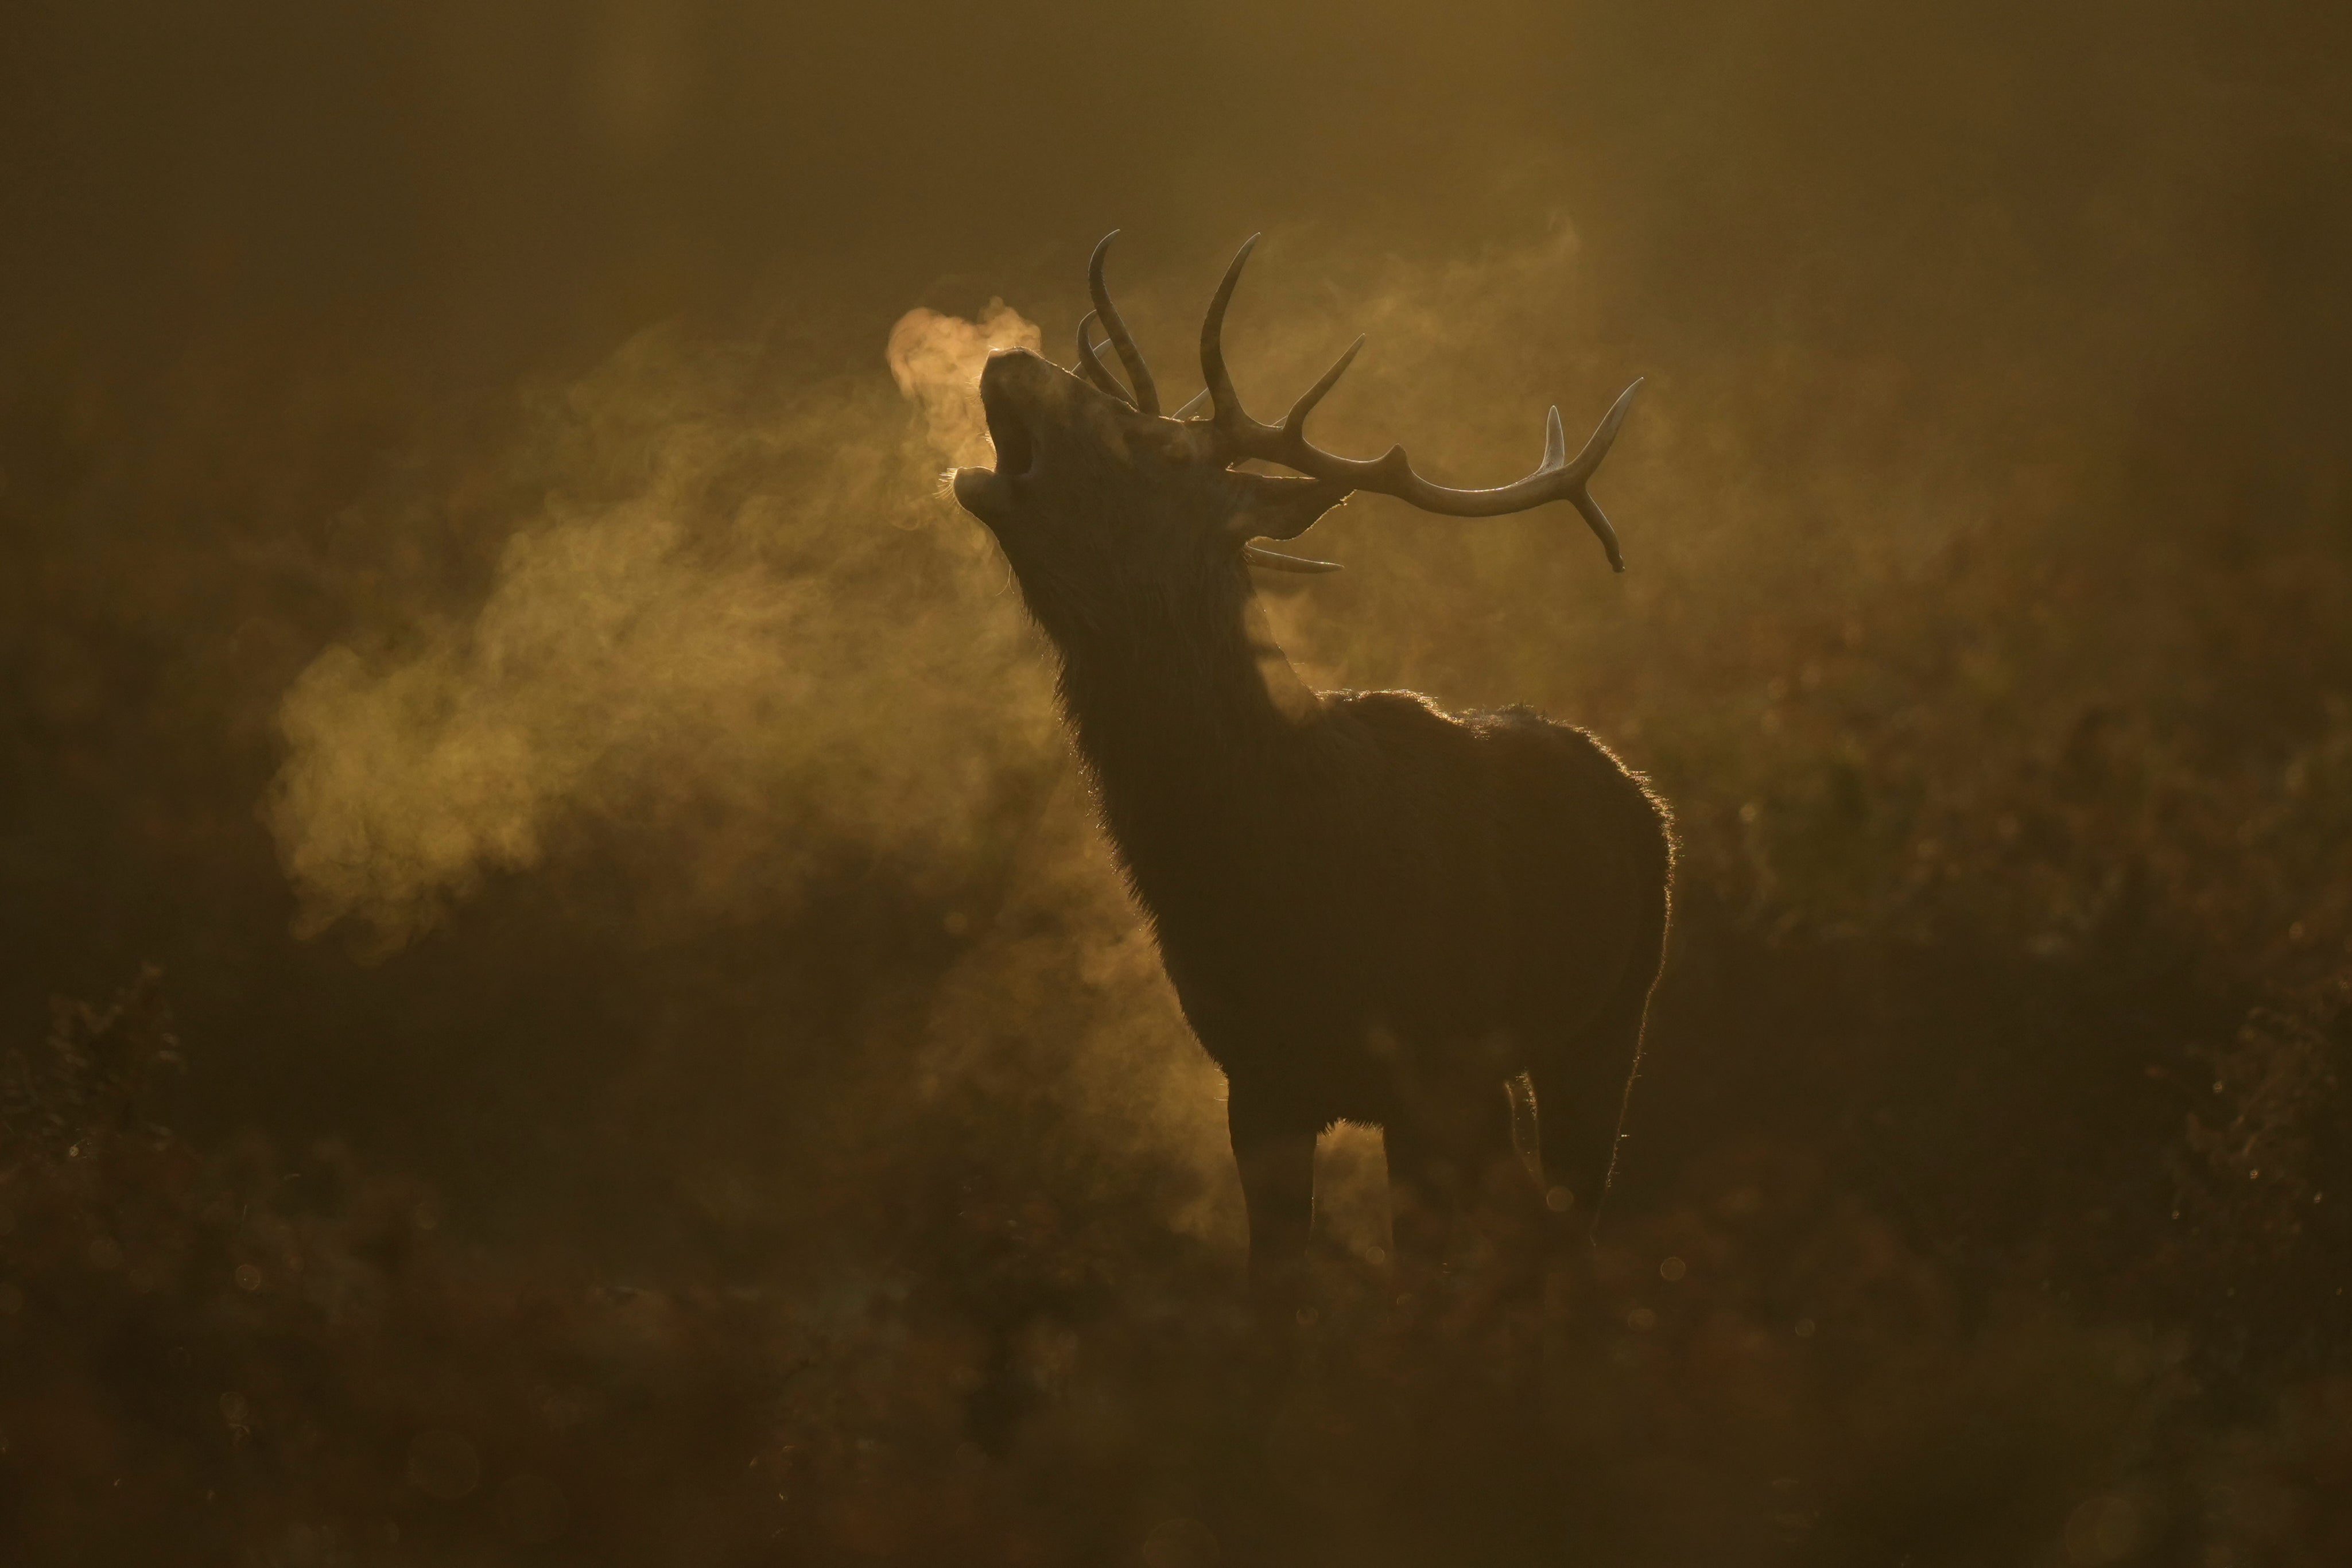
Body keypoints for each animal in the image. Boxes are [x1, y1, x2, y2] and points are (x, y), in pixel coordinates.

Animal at [950, 233, 1671, 1298]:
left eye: (1165, 449)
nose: (1008, 359)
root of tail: (1638, 793)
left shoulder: (1427, 1071)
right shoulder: (1256, 1080)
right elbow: (1272, 1297)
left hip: (1609, 1017)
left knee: (1568, 1219)